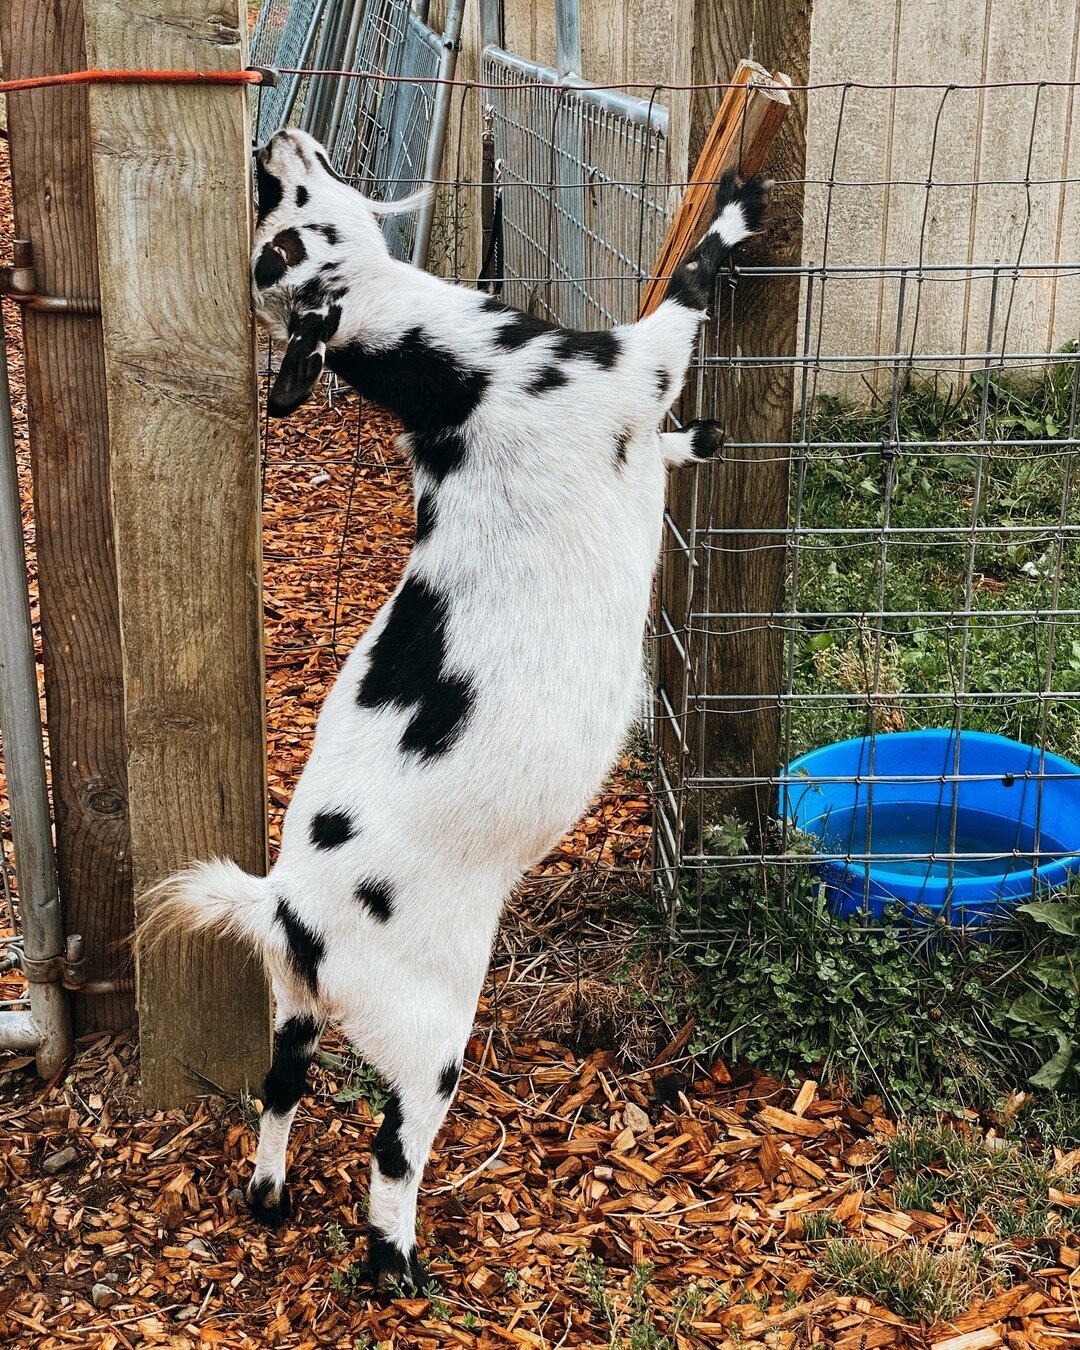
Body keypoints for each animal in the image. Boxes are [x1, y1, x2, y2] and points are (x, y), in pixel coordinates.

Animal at [143, 131, 766, 1290]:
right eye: (281, 226)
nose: (271, 142)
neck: (459, 383)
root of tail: (288, 912)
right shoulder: (633, 367)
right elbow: (692, 286)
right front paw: (743, 201)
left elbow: (666, 444)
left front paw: (701, 440)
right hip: (428, 1034)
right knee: (395, 1150)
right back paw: (399, 1267)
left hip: (295, 1009)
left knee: (280, 1088)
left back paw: (269, 1197)